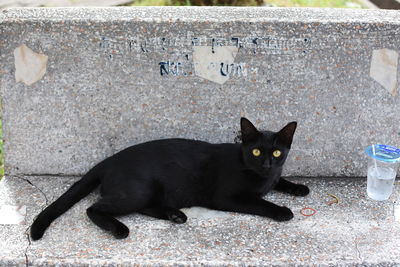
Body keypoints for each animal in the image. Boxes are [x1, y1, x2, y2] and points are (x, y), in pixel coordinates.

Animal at [31, 118, 310, 241]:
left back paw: (175, 215)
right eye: (256, 152)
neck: (259, 175)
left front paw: (298, 187)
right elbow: (261, 203)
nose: (267, 164)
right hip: (138, 190)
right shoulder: (227, 197)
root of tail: (109, 160)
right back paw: (119, 229)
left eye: (276, 152)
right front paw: (282, 210)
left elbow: (281, 181)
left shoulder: (274, 176)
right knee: (93, 208)